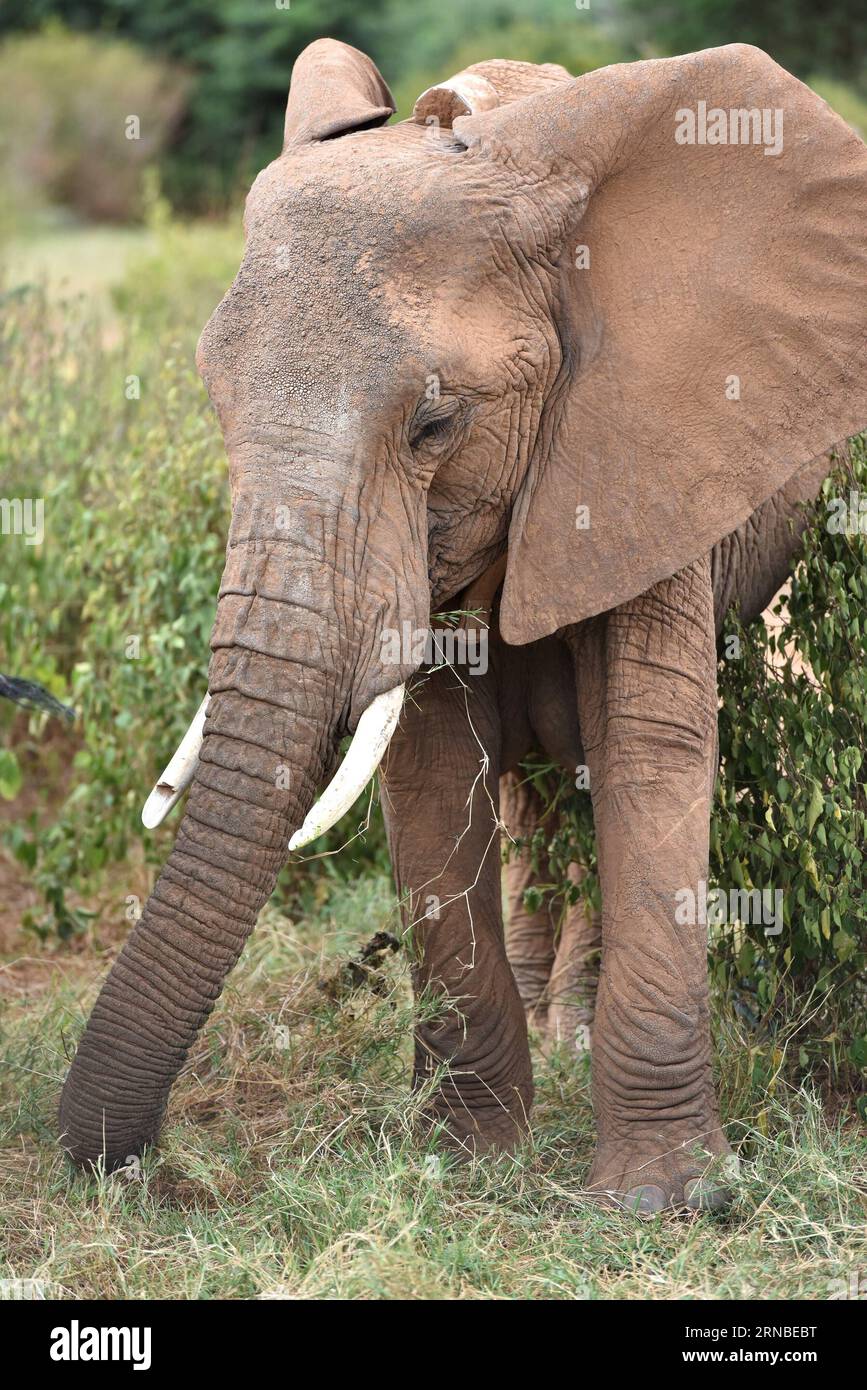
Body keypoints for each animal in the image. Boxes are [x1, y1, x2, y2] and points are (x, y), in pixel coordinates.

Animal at [57, 38, 861, 1217]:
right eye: (214, 401)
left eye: (436, 424)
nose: (138, 1167)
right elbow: (435, 766)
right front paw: (469, 1160)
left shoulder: (649, 435)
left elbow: (649, 745)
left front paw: (667, 1203)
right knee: (531, 797)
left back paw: (573, 1039)